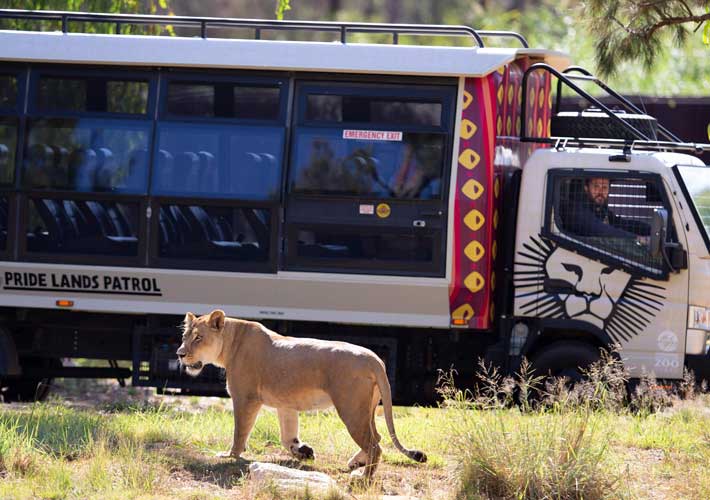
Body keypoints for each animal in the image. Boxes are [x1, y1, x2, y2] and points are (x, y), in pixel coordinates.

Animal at [176, 310, 427, 478]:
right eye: (184, 337)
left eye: (198, 338)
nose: (179, 354)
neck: (230, 342)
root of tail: (374, 359)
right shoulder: (285, 404)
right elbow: (287, 436)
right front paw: (303, 452)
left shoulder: (245, 398)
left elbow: (240, 431)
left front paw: (230, 455)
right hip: (366, 409)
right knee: (378, 438)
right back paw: (356, 465)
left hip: (351, 410)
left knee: (375, 444)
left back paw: (364, 478)